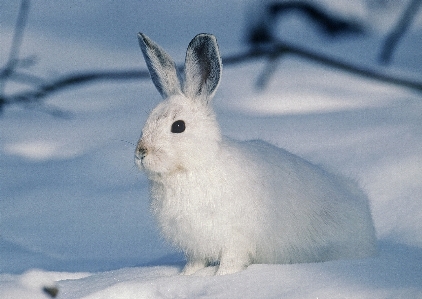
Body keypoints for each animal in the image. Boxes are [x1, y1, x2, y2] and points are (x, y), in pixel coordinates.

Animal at [134, 32, 376, 276]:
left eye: (178, 126)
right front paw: (187, 276)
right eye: (146, 122)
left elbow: (230, 263)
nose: (141, 152)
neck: (194, 166)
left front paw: (220, 277)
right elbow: (195, 263)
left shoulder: (235, 241)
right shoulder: (196, 249)